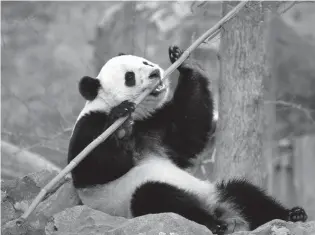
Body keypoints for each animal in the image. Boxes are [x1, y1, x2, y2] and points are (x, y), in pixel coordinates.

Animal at [68, 45, 308, 234]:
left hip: (214, 192)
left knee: (244, 193)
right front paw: (119, 126)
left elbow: (188, 132)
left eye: (145, 62)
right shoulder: (88, 127)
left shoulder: (156, 125)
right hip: (132, 203)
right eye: (129, 77)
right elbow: (93, 167)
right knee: (156, 196)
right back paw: (214, 224)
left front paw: (186, 62)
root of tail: (221, 211)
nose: (154, 72)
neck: (139, 118)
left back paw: (291, 215)